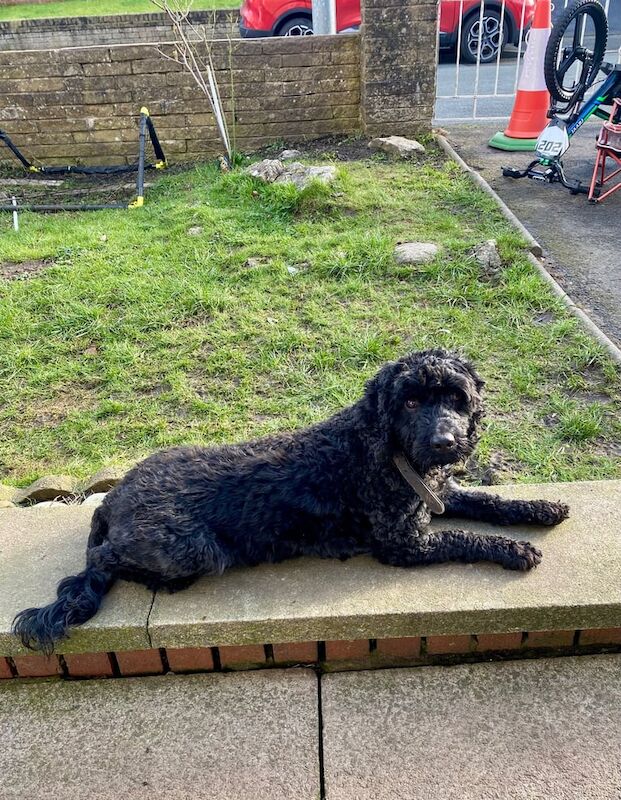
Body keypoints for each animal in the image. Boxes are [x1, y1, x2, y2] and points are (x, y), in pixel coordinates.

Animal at [13, 348, 568, 648]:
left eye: (456, 398)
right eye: (411, 400)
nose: (446, 442)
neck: (383, 449)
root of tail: (113, 498)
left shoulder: (439, 495)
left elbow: (488, 502)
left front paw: (541, 509)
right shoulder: (403, 542)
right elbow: (466, 537)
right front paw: (514, 549)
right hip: (190, 548)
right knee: (101, 562)